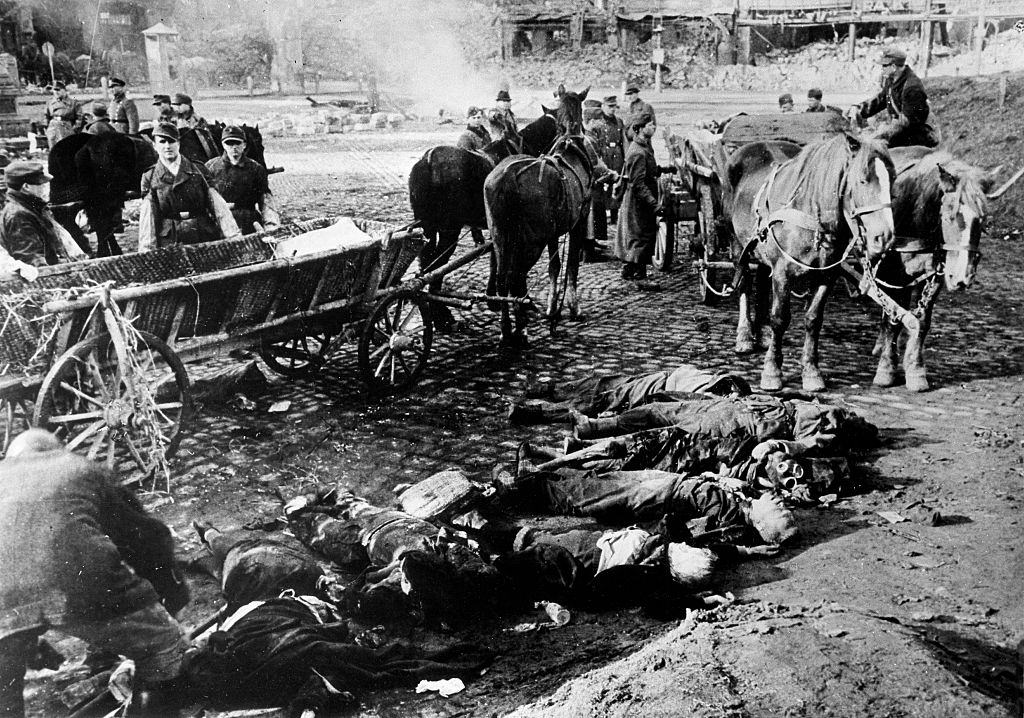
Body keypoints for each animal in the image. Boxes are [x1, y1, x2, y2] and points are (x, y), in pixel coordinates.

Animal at [405, 110, 557, 329]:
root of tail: (428, 160)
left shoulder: (498, 230)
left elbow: (495, 259)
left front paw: (492, 297)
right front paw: (518, 301)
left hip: (428, 227)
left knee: (426, 265)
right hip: (449, 230)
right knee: (437, 265)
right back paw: (443, 316)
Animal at [483, 83, 598, 348]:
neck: (570, 147)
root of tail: (507, 178)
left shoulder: (553, 232)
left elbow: (554, 267)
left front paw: (552, 307)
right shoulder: (577, 223)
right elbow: (571, 266)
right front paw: (573, 307)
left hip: (500, 238)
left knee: (503, 279)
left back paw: (507, 330)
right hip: (530, 241)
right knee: (516, 277)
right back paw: (521, 329)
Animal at [729, 131, 897, 389]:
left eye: (893, 180)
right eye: (862, 180)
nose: (885, 237)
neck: (809, 213)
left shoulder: (827, 275)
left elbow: (813, 319)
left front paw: (811, 371)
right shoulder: (782, 273)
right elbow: (780, 318)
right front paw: (772, 371)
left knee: (761, 282)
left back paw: (762, 333)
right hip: (740, 248)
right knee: (745, 286)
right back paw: (745, 336)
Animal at [868, 147, 1019, 391]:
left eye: (982, 219)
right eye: (950, 216)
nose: (962, 278)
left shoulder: (935, 276)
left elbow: (921, 322)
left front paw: (915, 370)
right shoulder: (894, 275)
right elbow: (893, 320)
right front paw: (886, 370)